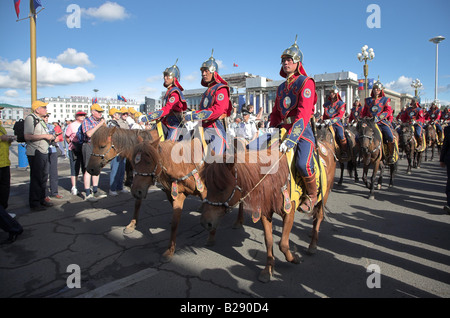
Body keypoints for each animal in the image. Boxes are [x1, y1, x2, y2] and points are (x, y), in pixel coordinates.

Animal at [199, 133, 336, 282]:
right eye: (207, 185)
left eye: (222, 188)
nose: (206, 223)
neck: (274, 177)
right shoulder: (266, 212)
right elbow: (269, 241)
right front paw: (268, 269)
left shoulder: (289, 212)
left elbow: (283, 244)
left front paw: (294, 258)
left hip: (324, 195)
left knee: (318, 217)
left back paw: (313, 245)